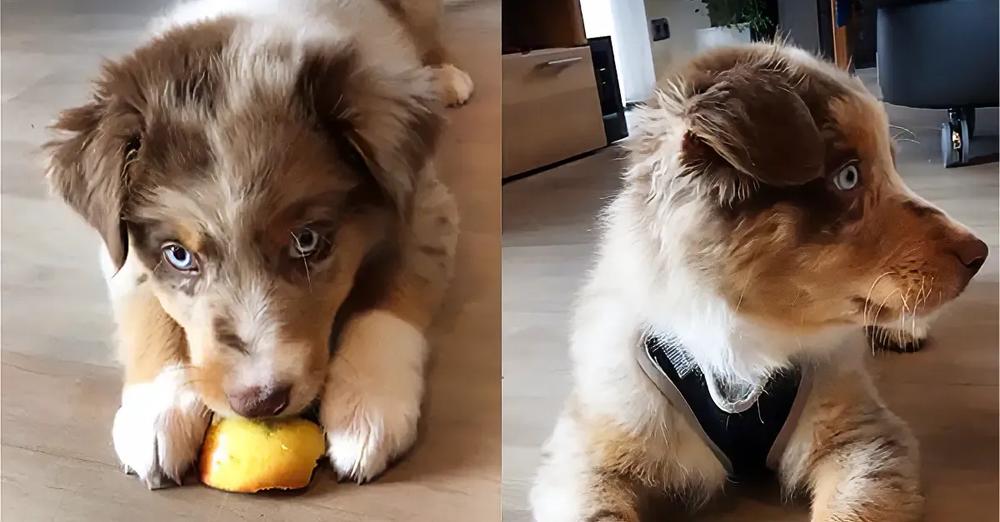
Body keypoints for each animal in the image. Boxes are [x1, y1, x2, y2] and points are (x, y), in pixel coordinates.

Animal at [45, 0, 470, 488]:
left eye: (307, 241)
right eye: (179, 255)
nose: (260, 402)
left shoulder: (423, 205)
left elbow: (387, 305)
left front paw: (366, 407)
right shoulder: (122, 248)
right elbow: (146, 307)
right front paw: (156, 412)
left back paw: (444, 77)